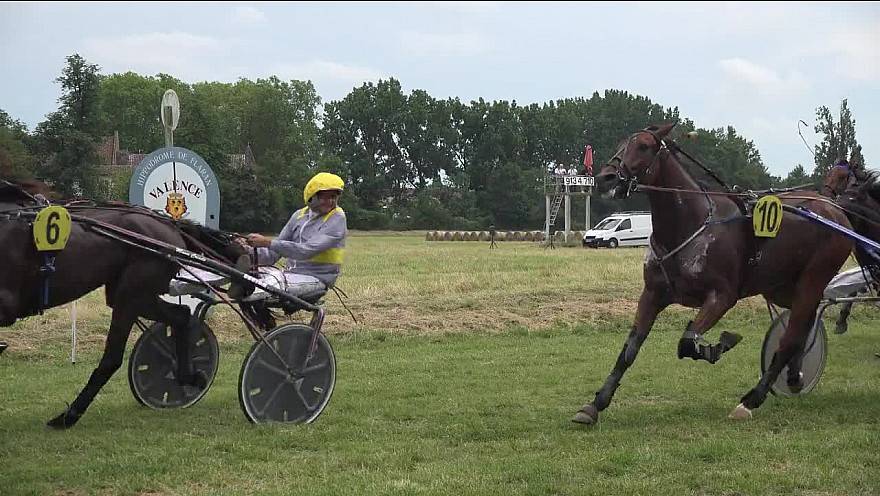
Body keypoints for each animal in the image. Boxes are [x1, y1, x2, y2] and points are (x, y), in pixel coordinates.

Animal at [0, 176, 248, 428]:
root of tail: (168, 225)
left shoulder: (6, 305)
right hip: (132, 295)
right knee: (180, 316)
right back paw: (188, 376)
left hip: (131, 294)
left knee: (113, 357)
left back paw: (68, 416)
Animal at [576, 122, 856, 424]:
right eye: (621, 143)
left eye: (644, 146)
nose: (606, 177)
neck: (690, 223)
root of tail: (835, 211)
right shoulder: (652, 294)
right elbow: (630, 349)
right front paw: (595, 404)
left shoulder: (722, 296)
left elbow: (687, 342)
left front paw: (719, 345)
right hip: (781, 287)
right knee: (804, 323)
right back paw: (794, 376)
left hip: (812, 279)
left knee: (791, 335)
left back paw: (752, 399)